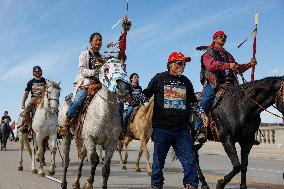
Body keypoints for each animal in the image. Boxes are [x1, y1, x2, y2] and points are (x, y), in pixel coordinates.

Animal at [60, 58, 131, 189]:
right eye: (106, 69)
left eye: (124, 68)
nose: (124, 88)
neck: (104, 112)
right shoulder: (90, 138)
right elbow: (95, 160)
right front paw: (89, 183)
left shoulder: (111, 142)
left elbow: (106, 168)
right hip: (67, 135)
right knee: (66, 159)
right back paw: (63, 183)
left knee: (82, 156)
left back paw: (76, 182)